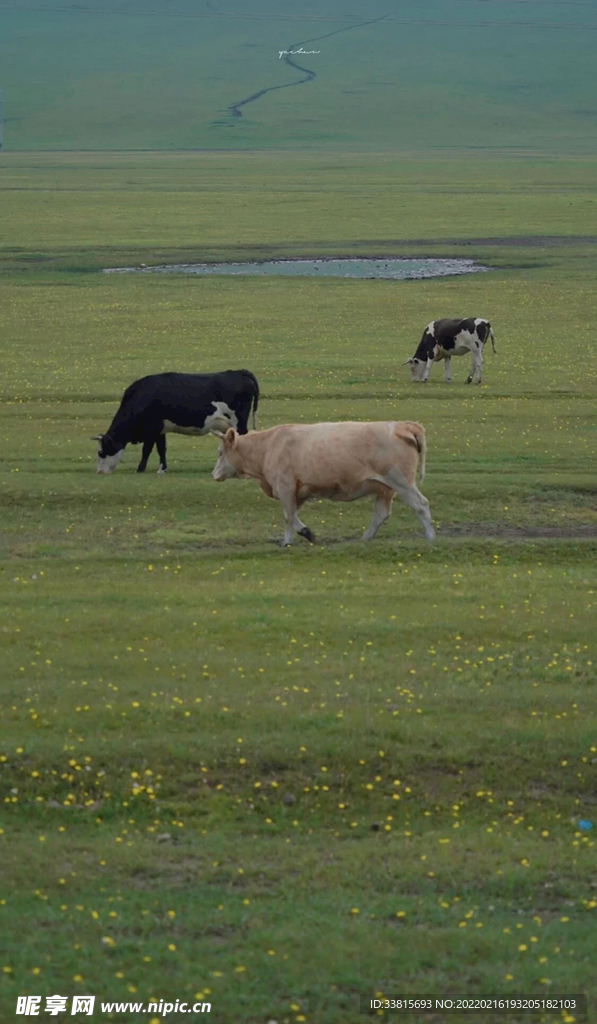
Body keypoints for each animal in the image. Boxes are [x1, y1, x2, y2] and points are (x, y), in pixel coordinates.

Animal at [92, 368, 259, 475]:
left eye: (101, 452)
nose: (100, 472)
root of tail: (239, 372)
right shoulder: (160, 430)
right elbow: (161, 449)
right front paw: (162, 469)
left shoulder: (151, 429)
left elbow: (146, 450)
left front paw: (139, 469)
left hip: (239, 423)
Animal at [210, 419, 434, 548]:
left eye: (220, 453)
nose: (214, 475)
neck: (268, 446)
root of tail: (402, 426)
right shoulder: (296, 491)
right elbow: (293, 515)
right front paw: (306, 533)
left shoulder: (285, 486)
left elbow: (288, 516)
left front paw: (287, 541)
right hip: (385, 489)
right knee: (381, 514)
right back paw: (364, 539)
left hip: (401, 481)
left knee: (420, 505)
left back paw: (431, 537)